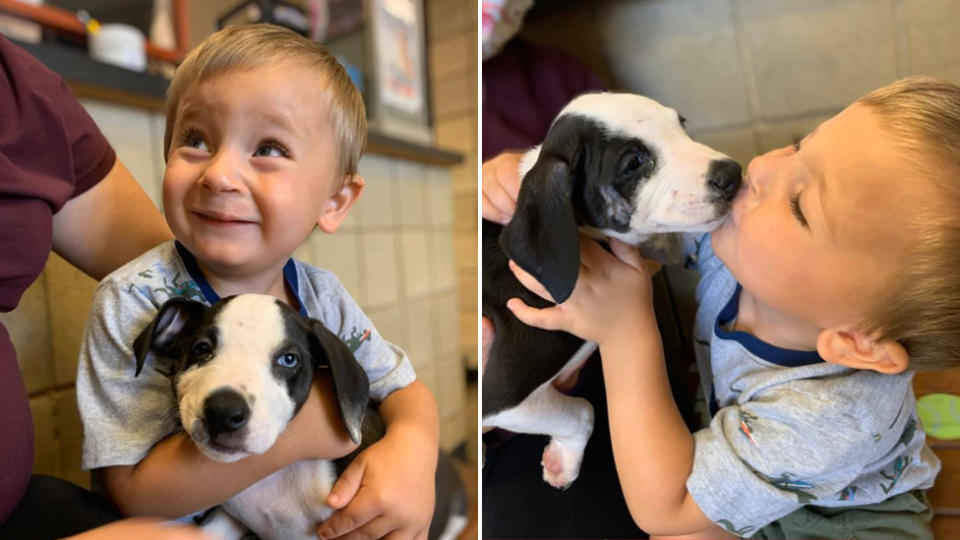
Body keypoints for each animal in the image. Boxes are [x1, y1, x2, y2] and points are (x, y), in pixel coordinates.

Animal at [480, 93, 744, 490]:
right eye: (633, 163)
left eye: (680, 124)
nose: (733, 175)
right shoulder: (501, 395)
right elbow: (582, 411)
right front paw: (565, 460)